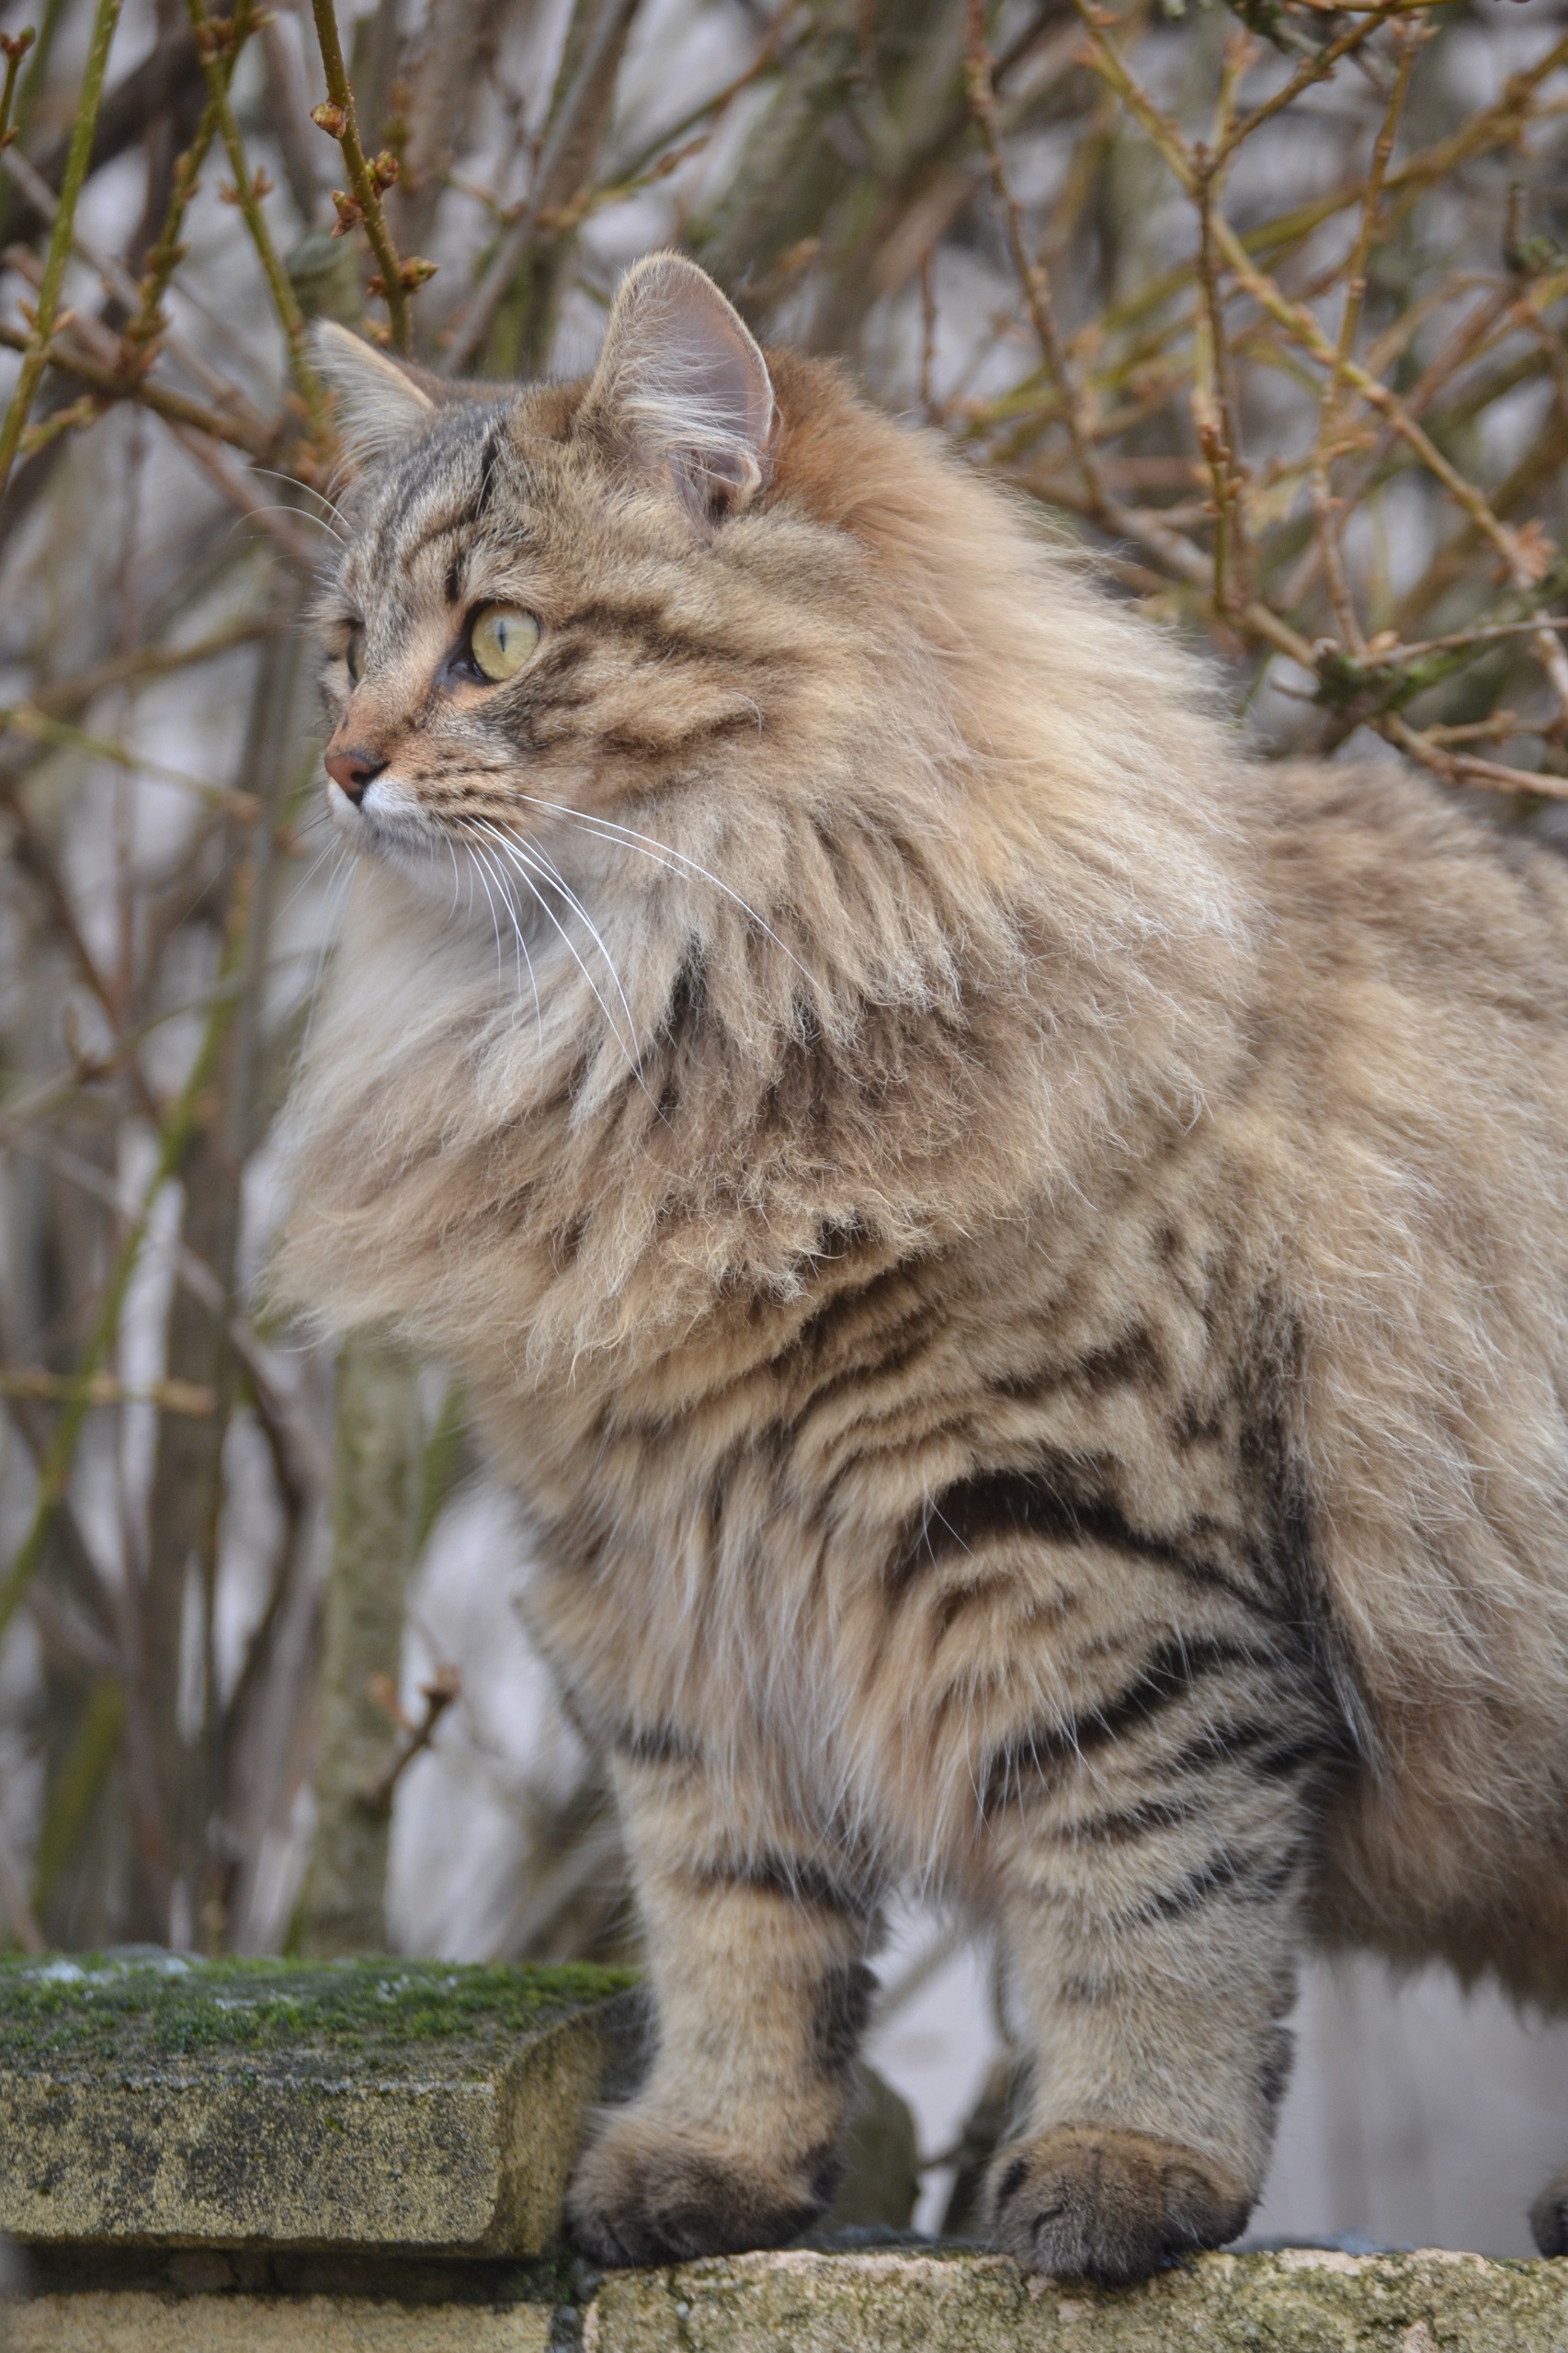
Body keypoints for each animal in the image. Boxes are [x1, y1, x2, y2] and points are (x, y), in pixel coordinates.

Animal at [278, 253, 1568, 2278]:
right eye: (345, 649)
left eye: (495, 639)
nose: (341, 768)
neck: (668, 1037)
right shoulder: (672, 1610)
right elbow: (737, 1934)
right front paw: (711, 2164)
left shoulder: (1108, 1570)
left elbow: (1152, 1916)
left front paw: (1123, 2171)